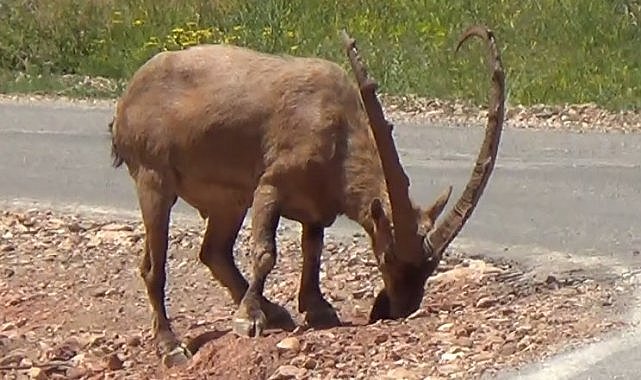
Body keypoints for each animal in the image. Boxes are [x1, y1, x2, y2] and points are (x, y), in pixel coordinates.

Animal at [106, 24, 504, 368]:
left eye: (429, 268)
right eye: (388, 257)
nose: (397, 310)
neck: (339, 132)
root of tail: (126, 102)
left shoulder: (315, 208)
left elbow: (313, 250)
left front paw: (317, 309)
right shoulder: (269, 187)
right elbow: (266, 253)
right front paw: (248, 320)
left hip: (227, 201)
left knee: (214, 252)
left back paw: (275, 312)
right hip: (154, 181)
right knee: (153, 267)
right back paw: (171, 346)